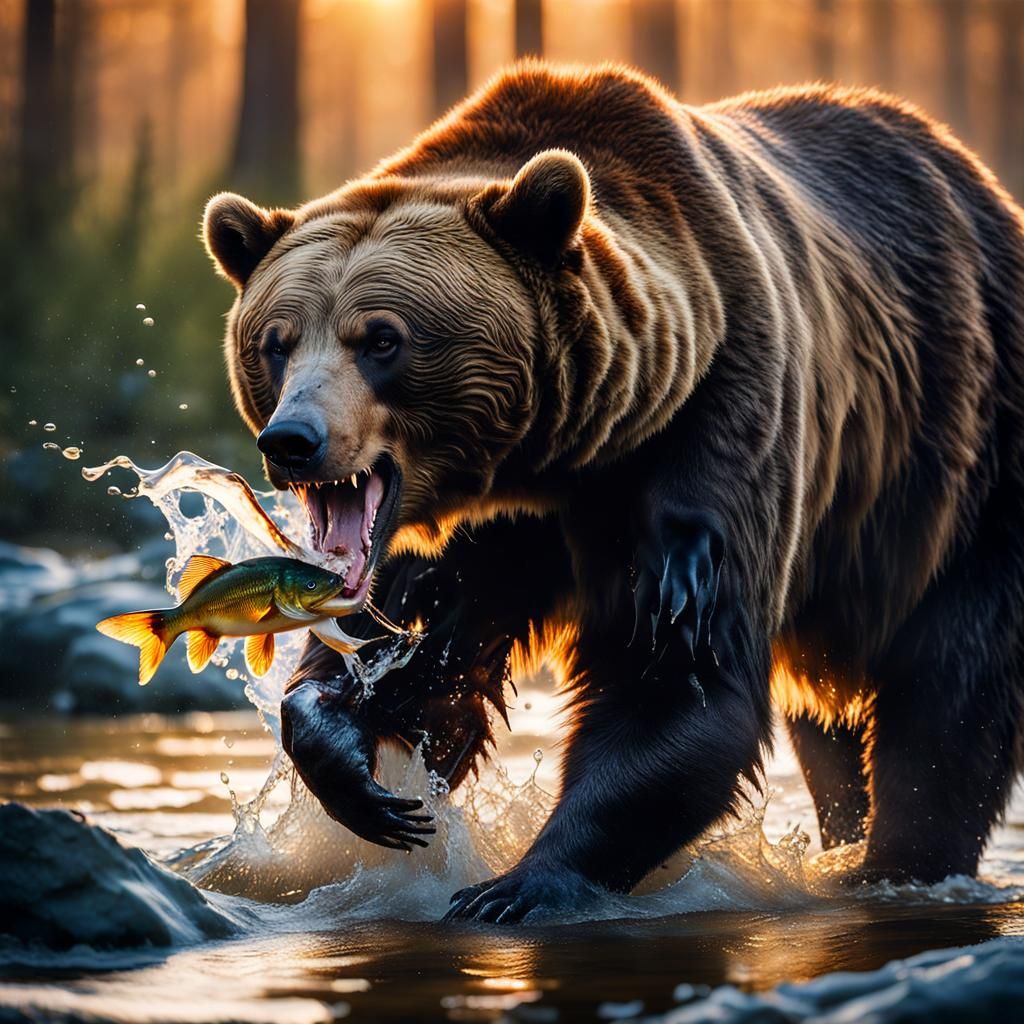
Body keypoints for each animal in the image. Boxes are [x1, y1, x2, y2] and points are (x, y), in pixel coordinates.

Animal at [202, 62, 1024, 923]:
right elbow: (415, 651)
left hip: (965, 464)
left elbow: (671, 675)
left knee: (950, 690)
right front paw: (368, 782)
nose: (292, 439)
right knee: (832, 731)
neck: (546, 460)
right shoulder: (483, 529)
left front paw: (512, 885)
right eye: (276, 341)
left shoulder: (709, 429)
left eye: (382, 338)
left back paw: (900, 864)